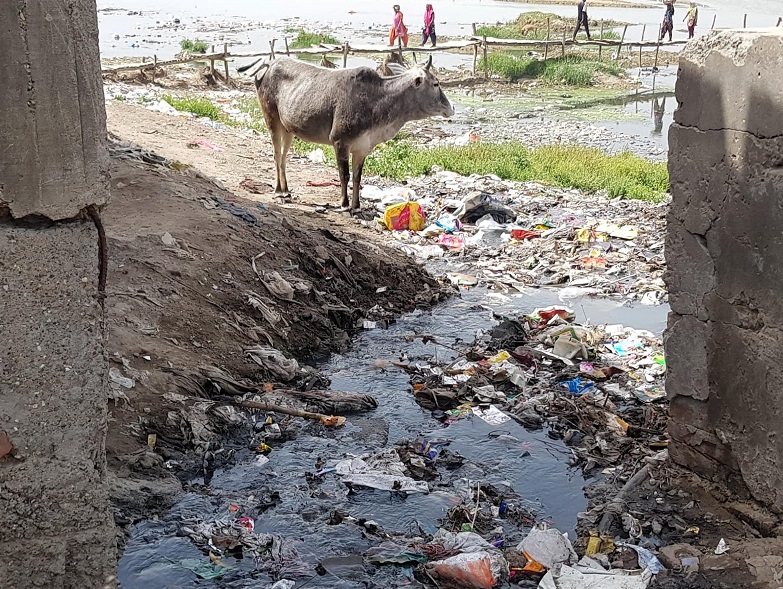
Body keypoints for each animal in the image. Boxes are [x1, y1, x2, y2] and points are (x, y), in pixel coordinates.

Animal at [240, 55, 460, 211]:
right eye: (436, 83)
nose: (451, 108)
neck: (377, 100)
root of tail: (269, 63)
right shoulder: (340, 141)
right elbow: (344, 175)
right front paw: (344, 204)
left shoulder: (362, 148)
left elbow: (357, 178)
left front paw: (357, 206)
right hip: (272, 119)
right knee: (277, 155)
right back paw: (278, 191)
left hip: (288, 128)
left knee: (284, 156)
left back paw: (286, 190)